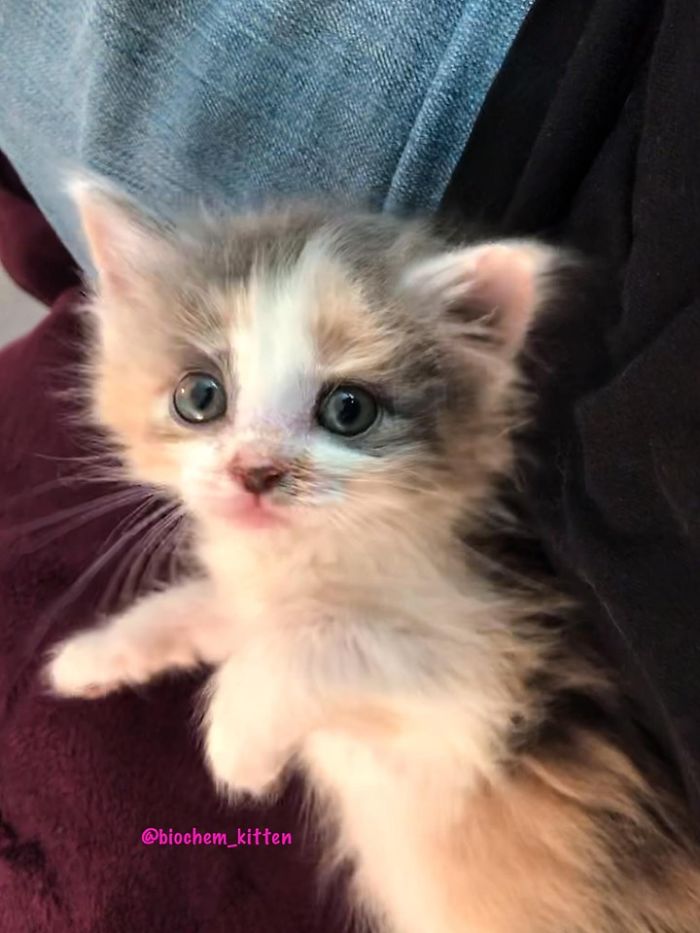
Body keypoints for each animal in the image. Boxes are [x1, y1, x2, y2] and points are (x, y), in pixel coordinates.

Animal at [46, 184, 696, 932]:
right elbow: (207, 607)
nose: (255, 472)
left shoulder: (476, 696)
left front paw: (237, 742)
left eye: (348, 409)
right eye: (200, 396)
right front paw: (92, 655)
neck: (309, 560)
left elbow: (329, 642)